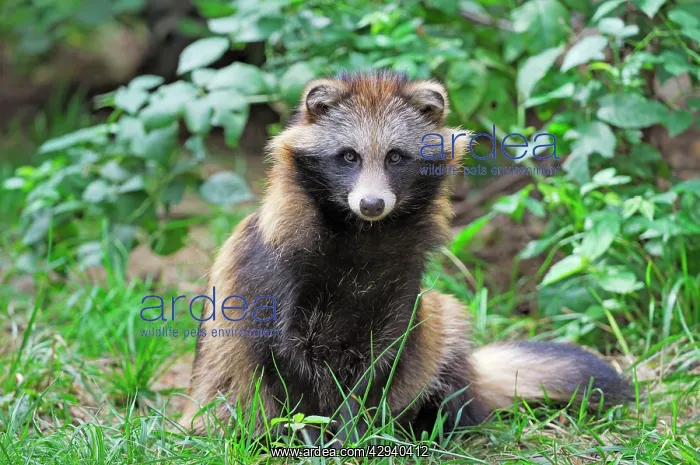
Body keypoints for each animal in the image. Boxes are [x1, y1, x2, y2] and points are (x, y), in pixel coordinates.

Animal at [180, 69, 631, 443]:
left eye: (395, 156)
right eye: (349, 156)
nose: (372, 203)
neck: (363, 232)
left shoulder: (402, 277)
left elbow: (385, 356)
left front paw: (356, 431)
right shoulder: (273, 273)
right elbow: (282, 360)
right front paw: (311, 435)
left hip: (439, 335)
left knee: (442, 339)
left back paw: (430, 424)